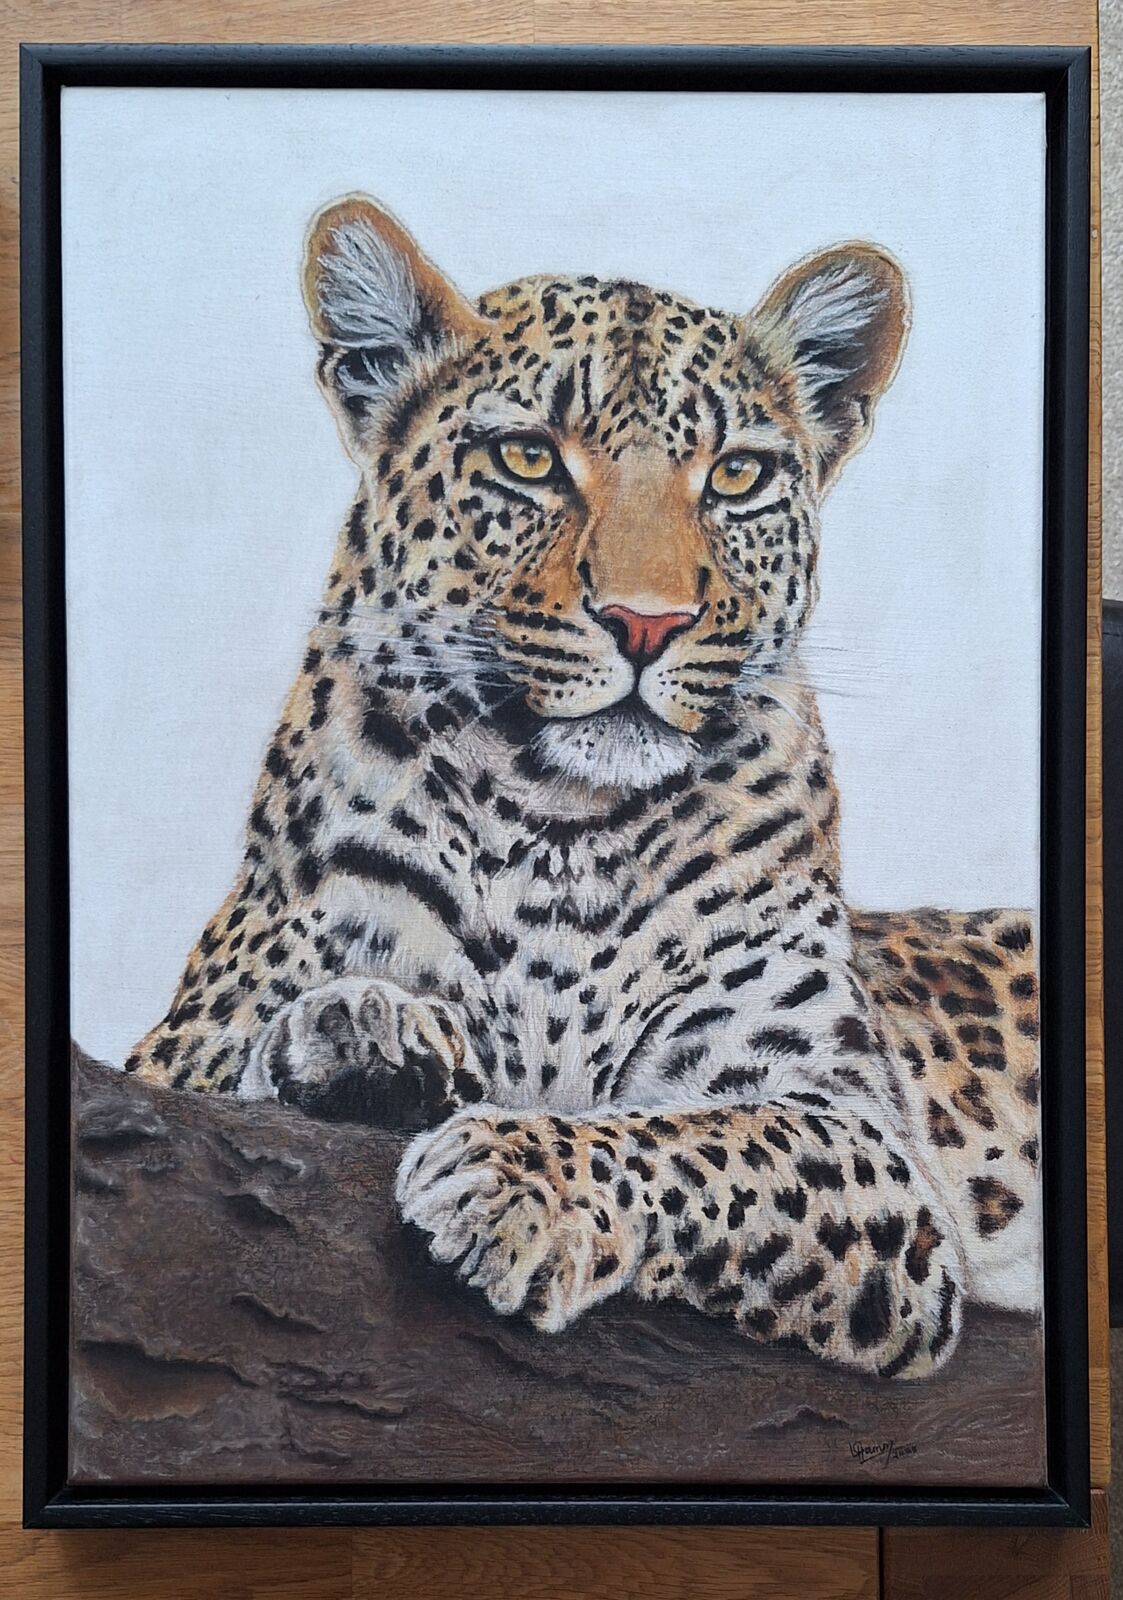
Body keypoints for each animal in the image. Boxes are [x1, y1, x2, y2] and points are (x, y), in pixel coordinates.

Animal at [127, 194, 1041, 1379]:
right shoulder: (180, 1041)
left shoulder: (854, 1133)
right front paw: (363, 1033)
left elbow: (708, 1138)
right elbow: (240, 1048)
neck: (559, 827)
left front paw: (513, 1178)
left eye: (736, 476)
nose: (648, 623)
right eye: (527, 458)